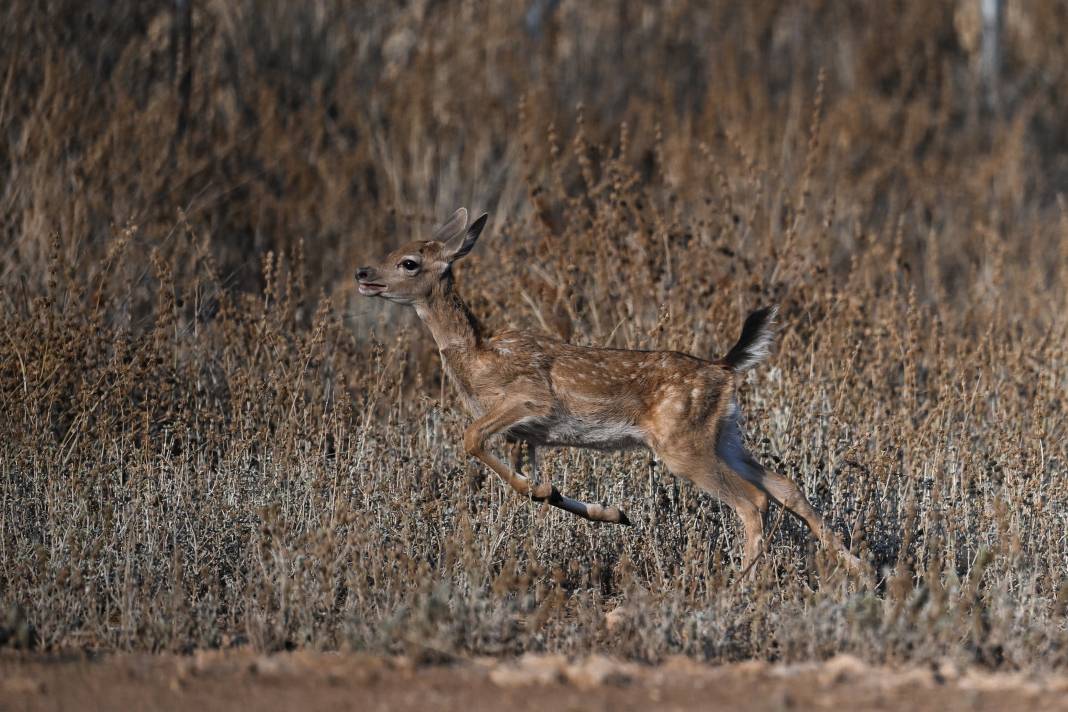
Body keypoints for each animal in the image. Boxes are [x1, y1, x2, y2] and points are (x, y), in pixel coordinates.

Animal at [356, 209, 858, 572]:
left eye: (409, 262)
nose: (363, 273)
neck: (478, 357)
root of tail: (724, 368)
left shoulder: (529, 399)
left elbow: (472, 437)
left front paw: (580, 502)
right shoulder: (530, 436)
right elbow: (529, 484)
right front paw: (596, 507)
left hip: (683, 444)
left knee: (753, 502)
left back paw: (742, 582)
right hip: (724, 435)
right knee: (784, 486)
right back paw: (858, 568)